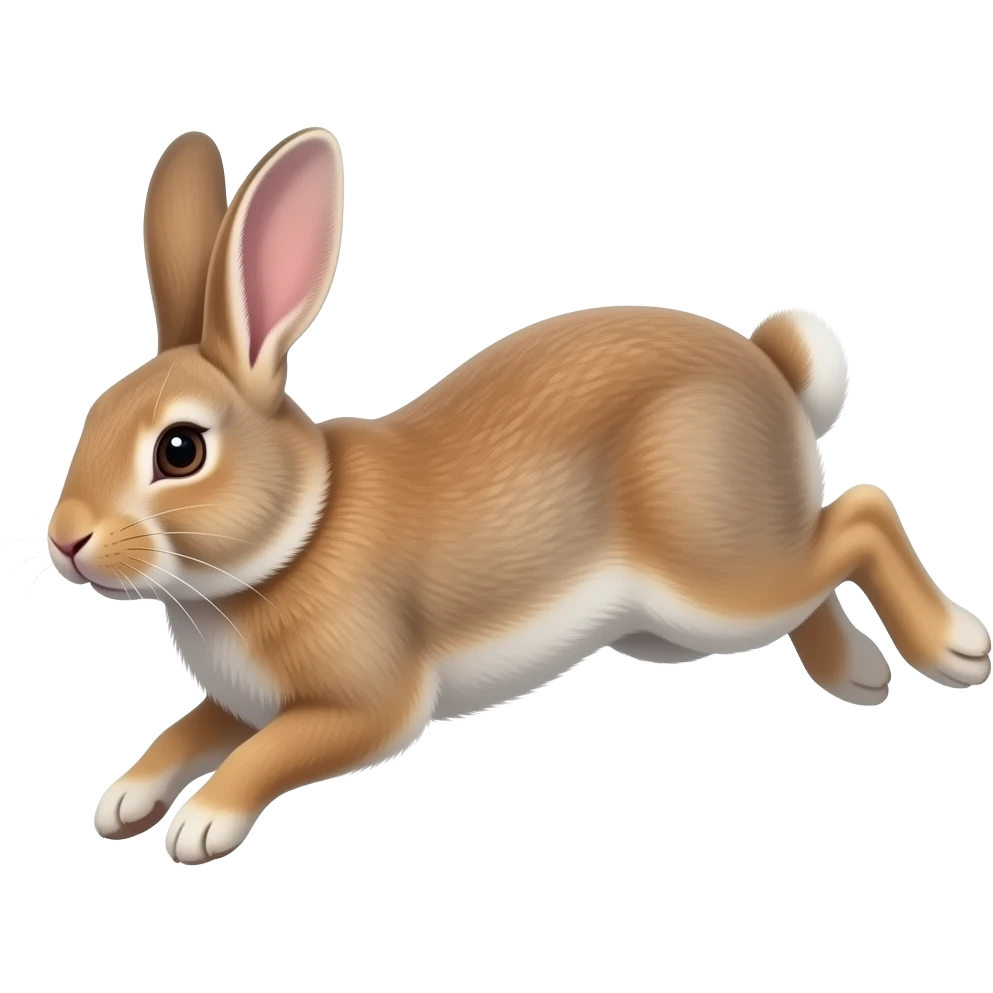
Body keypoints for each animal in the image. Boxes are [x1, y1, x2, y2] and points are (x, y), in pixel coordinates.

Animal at [58, 128, 989, 866]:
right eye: (92, 416)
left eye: (180, 450)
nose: (67, 540)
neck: (300, 530)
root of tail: (771, 375)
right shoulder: (240, 701)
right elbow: (191, 727)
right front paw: (124, 798)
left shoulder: (366, 702)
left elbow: (273, 750)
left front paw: (200, 824)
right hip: (688, 614)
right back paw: (858, 671)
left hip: (709, 575)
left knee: (860, 512)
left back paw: (953, 647)